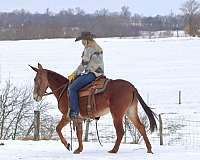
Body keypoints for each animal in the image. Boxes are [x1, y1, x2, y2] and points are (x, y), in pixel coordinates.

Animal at [30, 62, 158, 154]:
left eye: (36, 79)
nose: (35, 97)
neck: (65, 90)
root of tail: (132, 87)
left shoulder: (67, 116)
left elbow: (58, 129)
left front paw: (68, 145)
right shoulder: (78, 118)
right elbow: (79, 133)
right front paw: (79, 149)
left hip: (117, 113)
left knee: (121, 131)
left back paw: (114, 150)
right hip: (130, 111)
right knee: (141, 127)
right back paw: (149, 149)